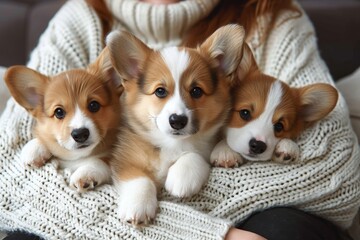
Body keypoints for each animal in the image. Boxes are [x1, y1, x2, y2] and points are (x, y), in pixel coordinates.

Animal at [4, 47, 123, 192]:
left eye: (94, 105)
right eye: (59, 112)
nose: (80, 134)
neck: (79, 156)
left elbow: (103, 160)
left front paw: (86, 172)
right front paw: (34, 148)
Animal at [105, 24, 246, 225]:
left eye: (196, 91)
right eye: (160, 91)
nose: (177, 121)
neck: (173, 143)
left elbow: (194, 154)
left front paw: (182, 178)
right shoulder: (126, 159)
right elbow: (139, 179)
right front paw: (138, 205)